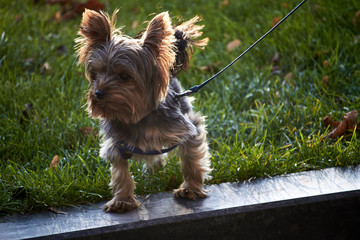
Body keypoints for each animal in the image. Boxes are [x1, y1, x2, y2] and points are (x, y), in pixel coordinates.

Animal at [76, 8, 211, 212]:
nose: (98, 93)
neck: (137, 117)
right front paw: (122, 200)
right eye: (96, 74)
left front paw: (191, 190)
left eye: (124, 76)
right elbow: (120, 172)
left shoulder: (188, 128)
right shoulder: (116, 143)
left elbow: (192, 160)